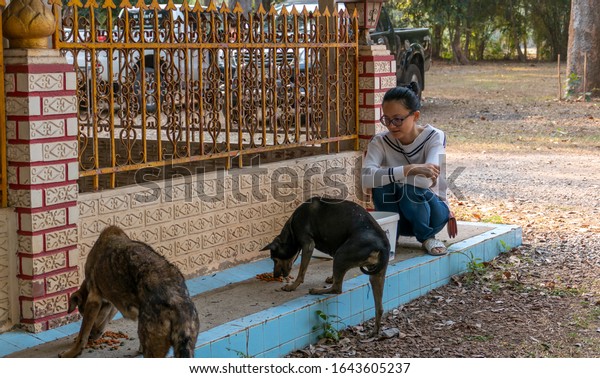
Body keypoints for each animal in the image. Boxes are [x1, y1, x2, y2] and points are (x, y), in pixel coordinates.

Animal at [59, 226, 199, 358]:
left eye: (82, 313)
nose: (92, 337)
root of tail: (178, 302)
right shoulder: (115, 302)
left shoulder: (94, 299)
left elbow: (82, 333)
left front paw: (72, 352)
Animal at [262, 196, 392, 336]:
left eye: (274, 259)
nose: (275, 275)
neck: (291, 228)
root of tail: (383, 246)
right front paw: (331, 277)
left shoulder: (308, 244)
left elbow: (302, 272)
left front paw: (292, 286)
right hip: (376, 275)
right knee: (379, 308)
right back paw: (375, 331)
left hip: (341, 256)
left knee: (337, 289)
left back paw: (317, 290)